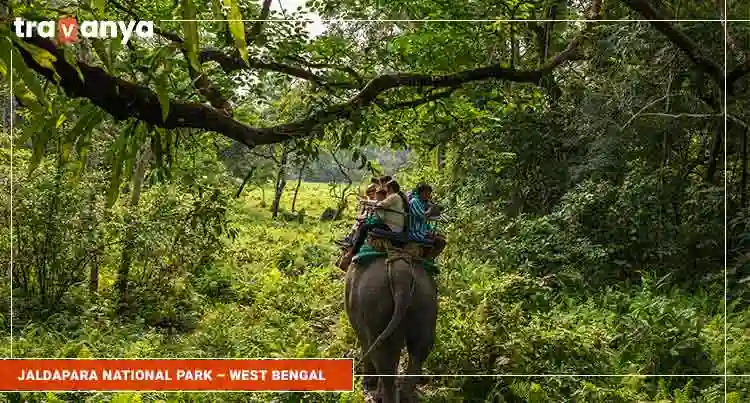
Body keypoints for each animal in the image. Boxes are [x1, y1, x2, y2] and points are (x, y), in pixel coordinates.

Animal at [344, 251, 438, 402]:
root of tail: (401, 274)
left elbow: (365, 343)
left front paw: (368, 385)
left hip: (375, 302)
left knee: (384, 357)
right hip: (426, 302)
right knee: (419, 351)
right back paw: (405, 396)